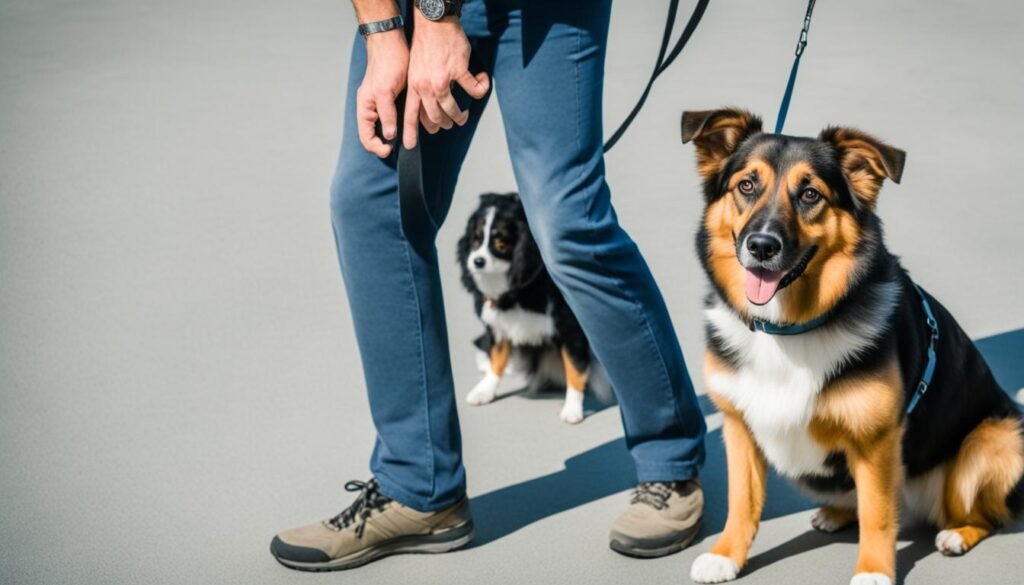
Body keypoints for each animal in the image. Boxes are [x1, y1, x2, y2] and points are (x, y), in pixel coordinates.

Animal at [460, 194, 610, 424]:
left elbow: (575, 368)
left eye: (501, 243)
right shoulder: (498, 326)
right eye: (475, 240)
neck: (519, 292)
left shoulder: (571, 330)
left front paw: (572, 408)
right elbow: (497, 359)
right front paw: (484, 391)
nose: (477, 261)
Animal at [679, 108, 1024, 585]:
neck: (788, 329)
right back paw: (835, 513)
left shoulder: (877, 440)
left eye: (810, 194)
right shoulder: (739, 426)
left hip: (993, 442)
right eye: (746, 186)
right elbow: (742, 501)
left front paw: (874, 571)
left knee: (984, 514)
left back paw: (957, 534)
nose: (761, 246)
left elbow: (878, 513)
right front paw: (726, 554)